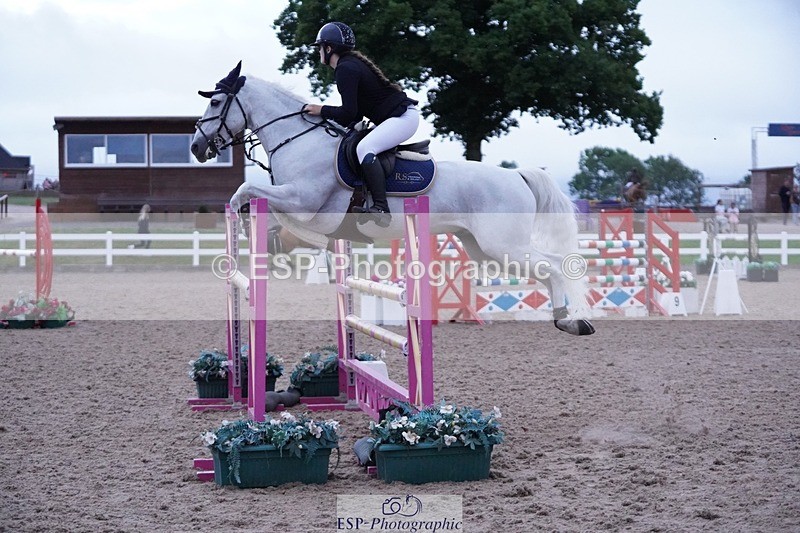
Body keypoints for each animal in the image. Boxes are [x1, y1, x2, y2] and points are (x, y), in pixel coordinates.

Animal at [191, 62, 595, 335]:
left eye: (215, 102)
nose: (196, 147)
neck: (298, 139)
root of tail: (516, 175)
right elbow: (254, 199)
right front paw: (266, 237)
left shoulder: (303, 201)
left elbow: (246, 192)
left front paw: (252, 229)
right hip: (482, 248)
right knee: (545, 269)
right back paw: (564, 320)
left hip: (503, 244)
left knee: (555, 265)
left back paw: (573, 321)